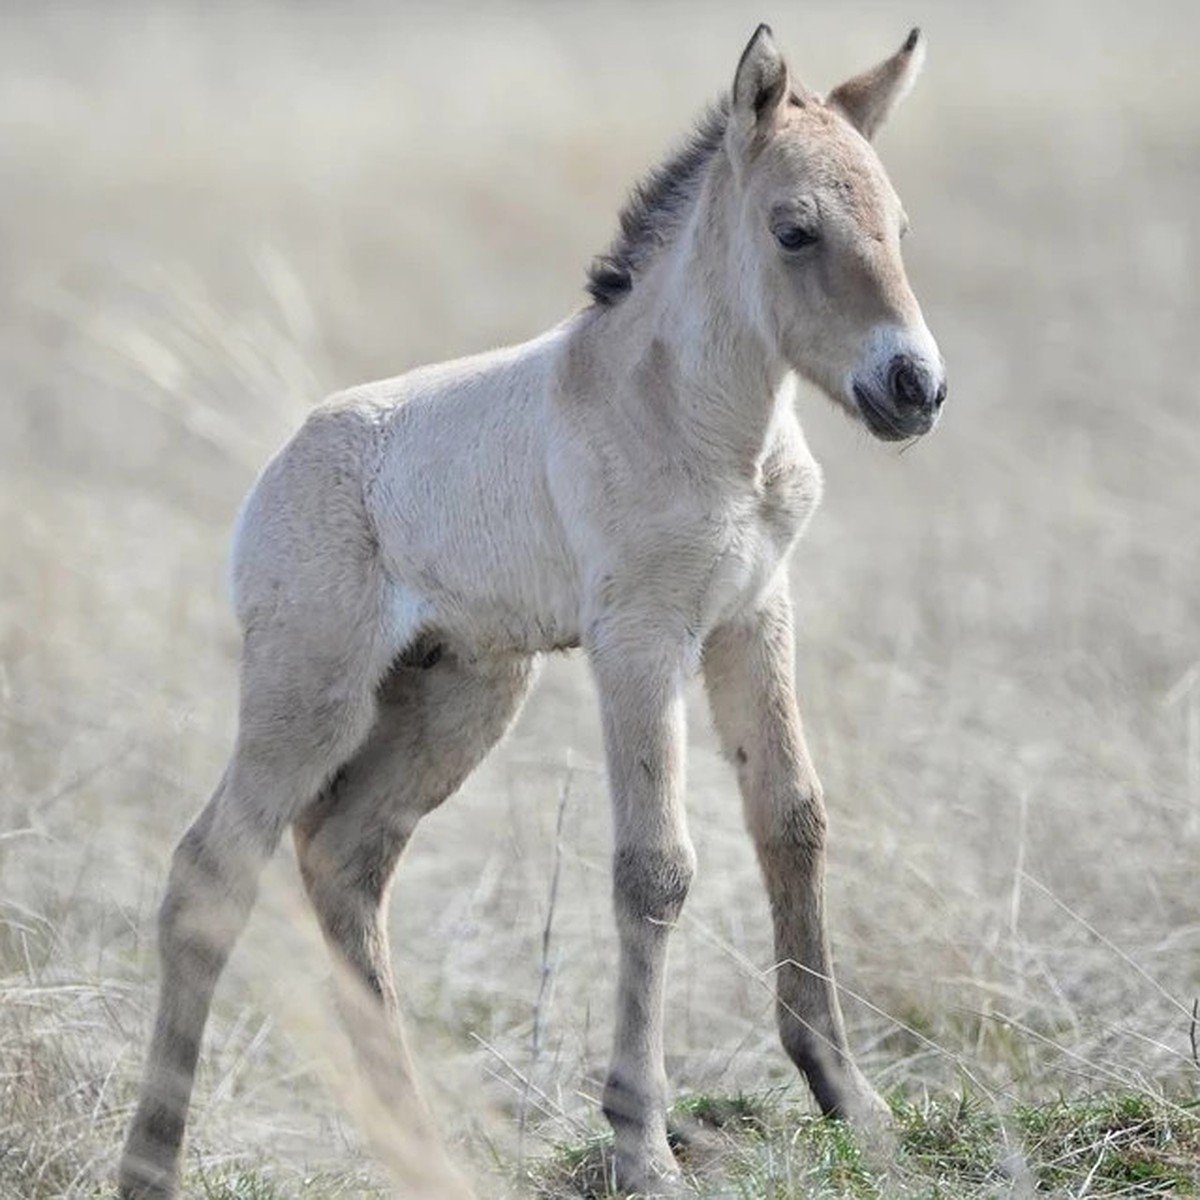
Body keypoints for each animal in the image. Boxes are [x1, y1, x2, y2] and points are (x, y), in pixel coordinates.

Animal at [121, 23, 945, 1195]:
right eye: (795, 230)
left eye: (899, 227)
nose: (913, 387)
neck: (699, 423)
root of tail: (274, 472)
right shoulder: (640, 637)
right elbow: (655, 869)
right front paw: (642, 1148)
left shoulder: (753, 617)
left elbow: (792, 821)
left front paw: (855, 1107)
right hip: (309, 693)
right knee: (209, 874)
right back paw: (151, 1162)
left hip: (462, 697)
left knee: (344, 860)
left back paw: (424, 1151)